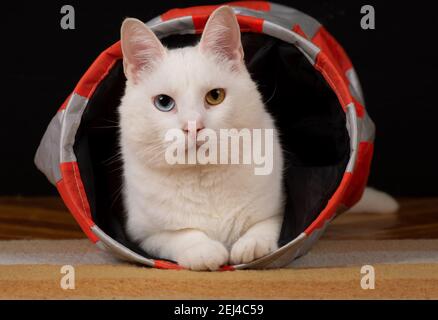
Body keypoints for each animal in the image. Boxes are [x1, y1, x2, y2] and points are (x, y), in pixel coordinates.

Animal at [119, 6, 284, 270]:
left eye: (215, 96)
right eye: (163, 102)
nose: (193, 126)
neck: (201, 177)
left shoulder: (276, 210)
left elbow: (263, 226)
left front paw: (251, 247)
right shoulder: (144, 235)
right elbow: (181, 235)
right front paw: (204, 251)